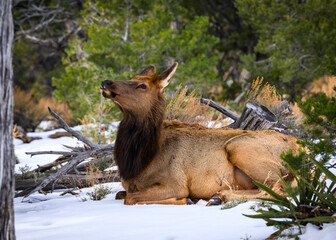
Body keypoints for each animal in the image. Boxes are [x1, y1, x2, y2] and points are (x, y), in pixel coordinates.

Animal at [99, 62, 296, 205]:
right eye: (132, 78)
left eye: (142, 85)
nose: (106, 82)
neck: (137, 161)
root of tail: (299, 148)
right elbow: (120, 194)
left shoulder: (175, 182)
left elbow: (130, 198)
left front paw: (185, 200)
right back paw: (219, 196)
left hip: (238, 147)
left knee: (280, 189)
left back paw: (220, 197)